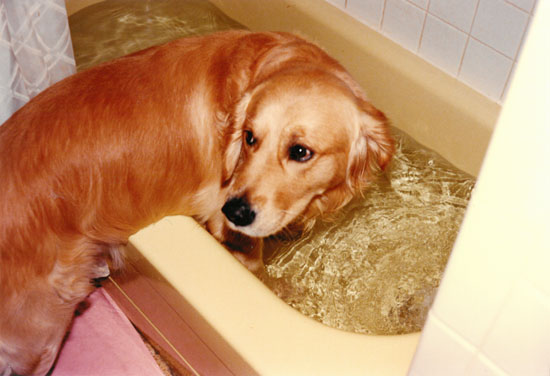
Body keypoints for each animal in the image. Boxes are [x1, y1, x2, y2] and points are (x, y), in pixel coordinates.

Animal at [0, 30, 392, 374]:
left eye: (300, 151)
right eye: (250, 137)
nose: (235, 210)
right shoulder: (228, 225)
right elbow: (257, 267)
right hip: (40, 332)